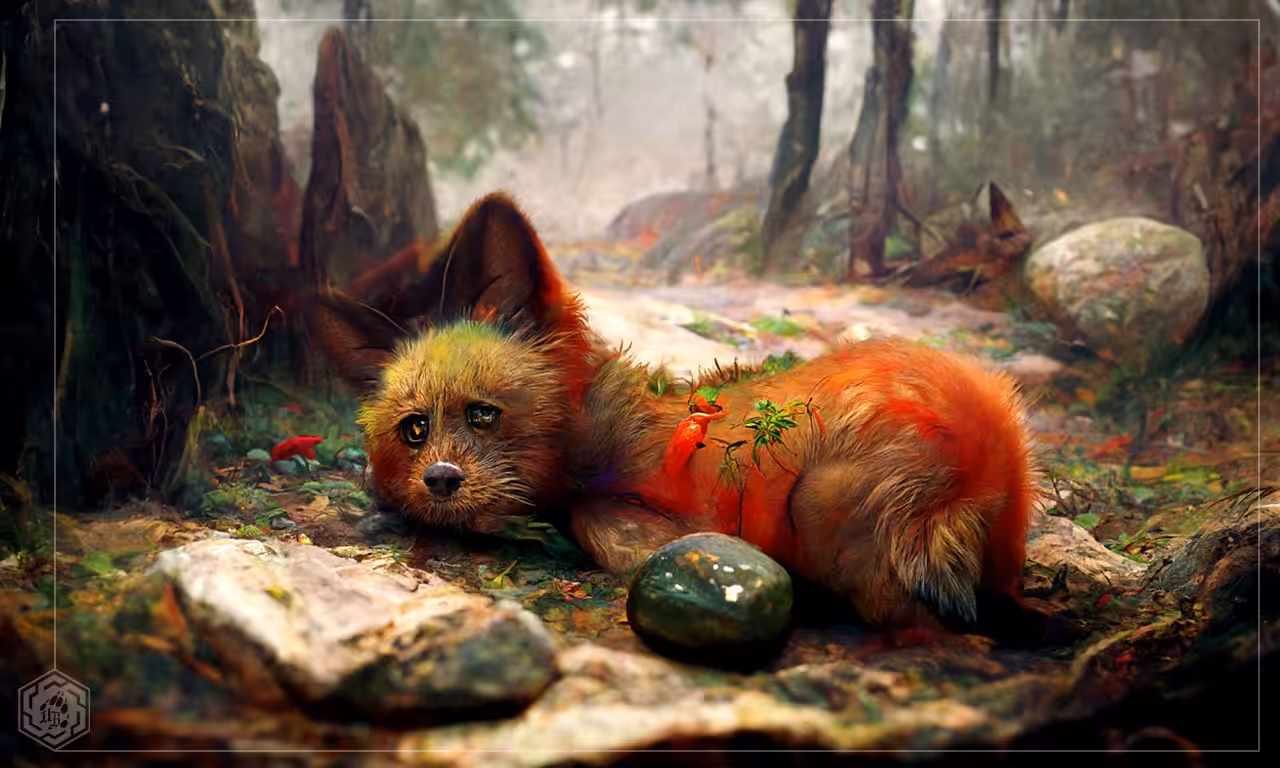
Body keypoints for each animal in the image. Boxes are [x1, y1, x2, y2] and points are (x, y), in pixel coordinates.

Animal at [310, 192, 1042, 638]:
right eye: (415, 430)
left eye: (483, 415)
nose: (438, 480)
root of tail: (997, 450)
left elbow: (613, 528)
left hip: (818, 501)